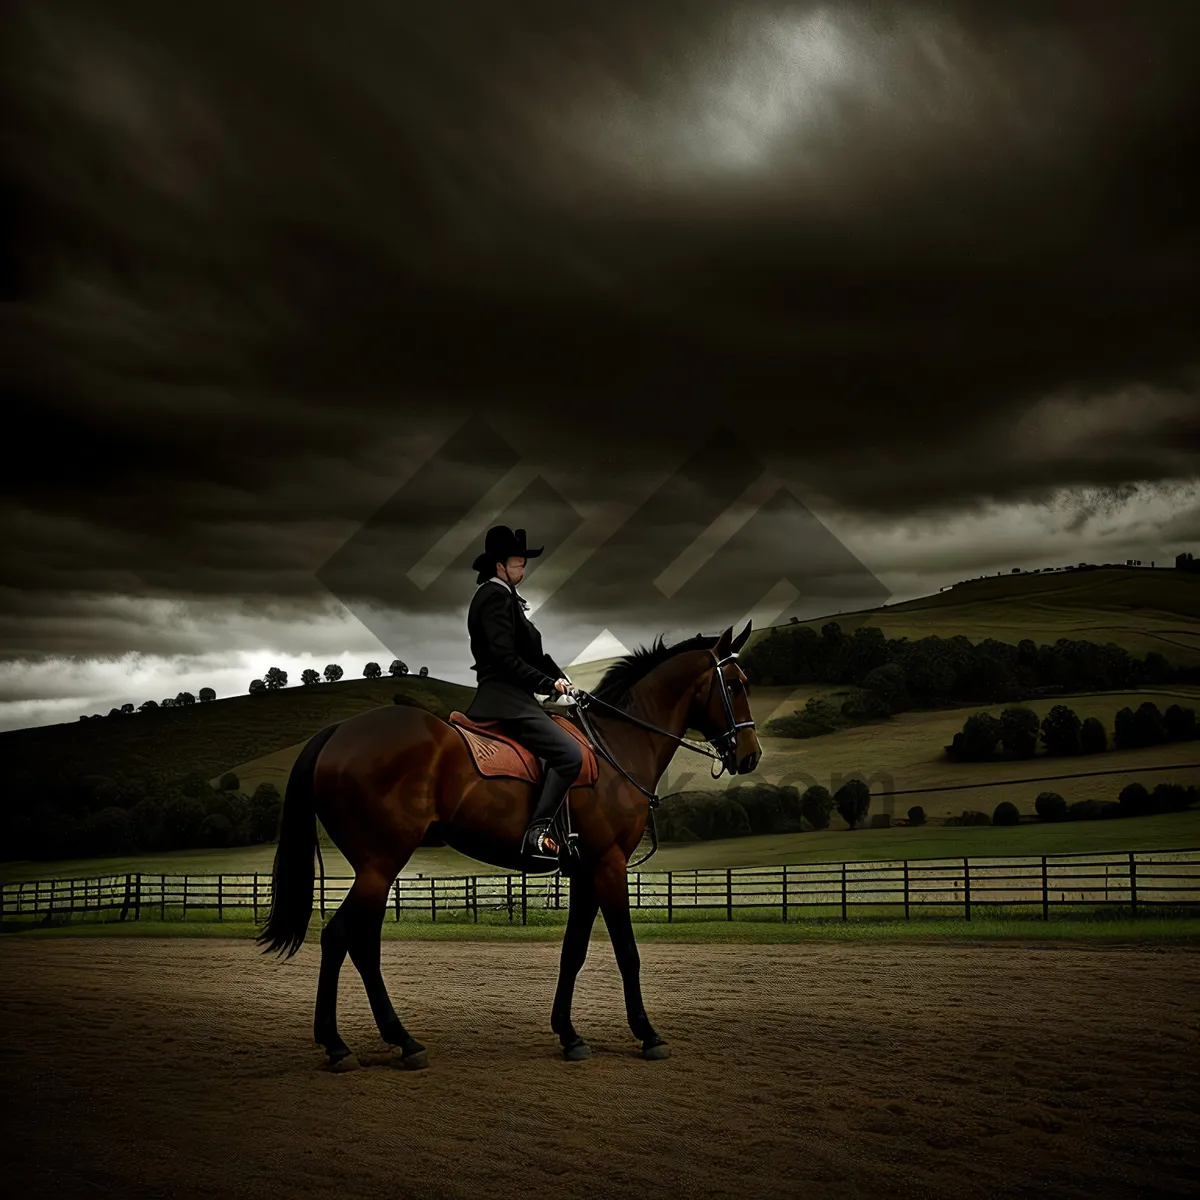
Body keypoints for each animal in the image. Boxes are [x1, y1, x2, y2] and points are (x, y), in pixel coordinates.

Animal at [255, 619, 758, 1070]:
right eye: (735, 684)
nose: (751, 755)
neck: (617, 745)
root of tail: (338, 732)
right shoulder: (609, 865)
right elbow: (627, 953)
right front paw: (647, 1034)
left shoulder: (584, 871)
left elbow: (573, 952)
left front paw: (570, 1035)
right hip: (380, 865)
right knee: (342, 937)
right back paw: (353, 1044)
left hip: (376, 870)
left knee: (360, 944)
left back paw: (387, 1041)